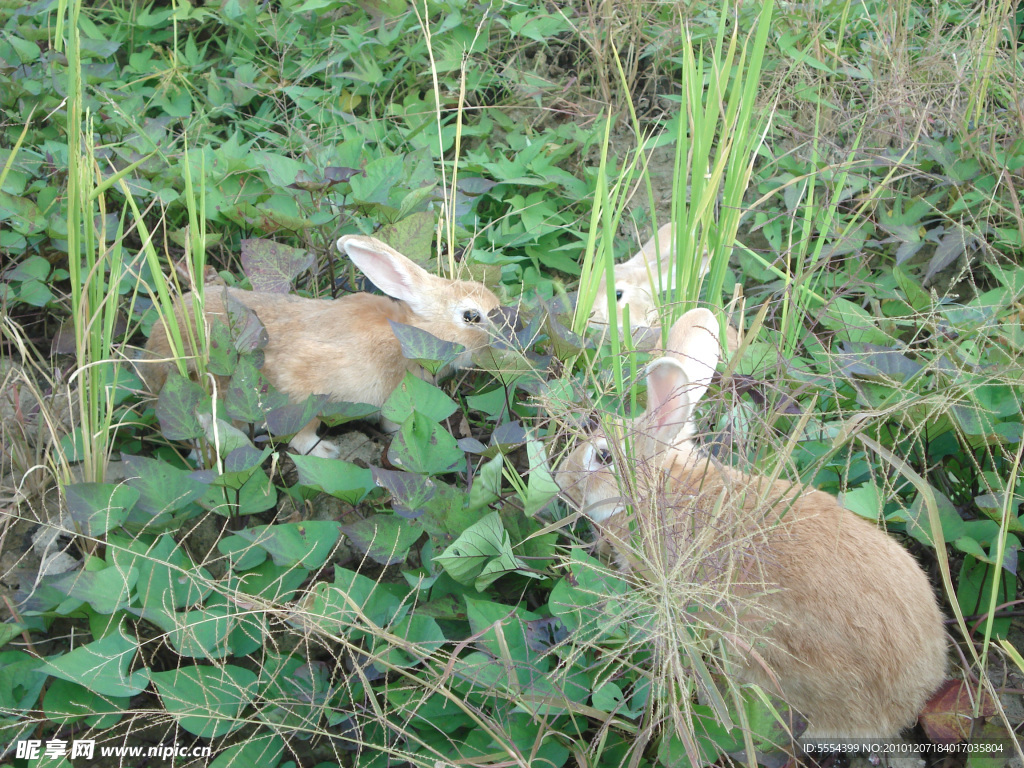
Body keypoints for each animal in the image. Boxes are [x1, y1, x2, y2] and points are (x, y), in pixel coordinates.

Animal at [144, 234, 503, 460]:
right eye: (472, 316)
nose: (503, 336)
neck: (409, 335)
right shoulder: (300, 387)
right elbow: (302, 431)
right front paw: (327, 452)